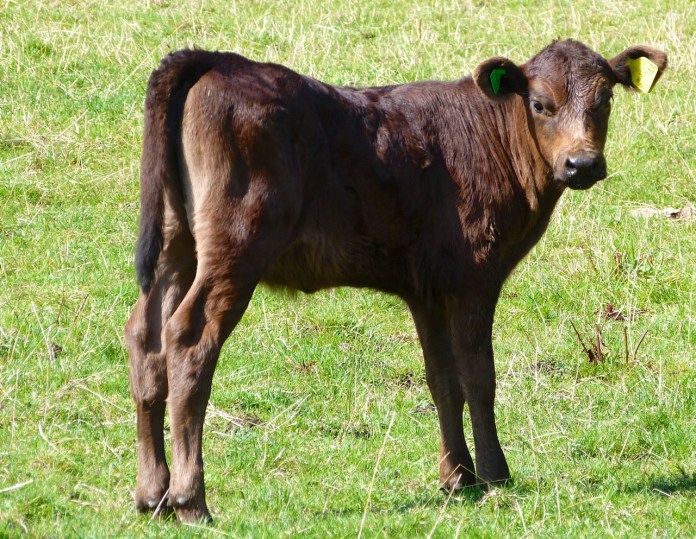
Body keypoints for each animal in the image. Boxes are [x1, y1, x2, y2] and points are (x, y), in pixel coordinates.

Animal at [125, 39, 667, 522]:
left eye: (606, 99)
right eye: (540, 104)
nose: (582, 163)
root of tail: (216, 60)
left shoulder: (428, 290)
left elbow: (443, 380)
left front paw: (457, 478)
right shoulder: (474, 277)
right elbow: (479, 377)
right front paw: (495, 474)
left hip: (176, 243)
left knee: (145, 336)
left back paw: (153, 495)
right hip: (236, 243)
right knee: (189, 338)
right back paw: (190, 500)